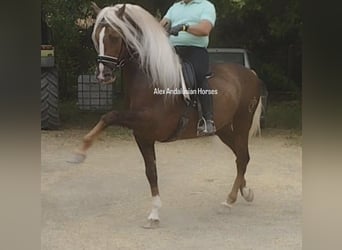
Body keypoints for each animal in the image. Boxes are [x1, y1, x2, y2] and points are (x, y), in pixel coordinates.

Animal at [69, 1, 262, 229]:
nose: (103, 75)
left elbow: (110, 115)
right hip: (223, 128)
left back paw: (229, 201)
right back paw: (244, 192)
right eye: (96, 38)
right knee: (240, 156)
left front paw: (80, 151)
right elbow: (151, 171)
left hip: (242, 122)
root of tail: (250, 74)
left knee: (242, 157)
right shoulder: (142, 135)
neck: (149, 77)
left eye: (115, 37)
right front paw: (154, 213)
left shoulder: (146, 121)